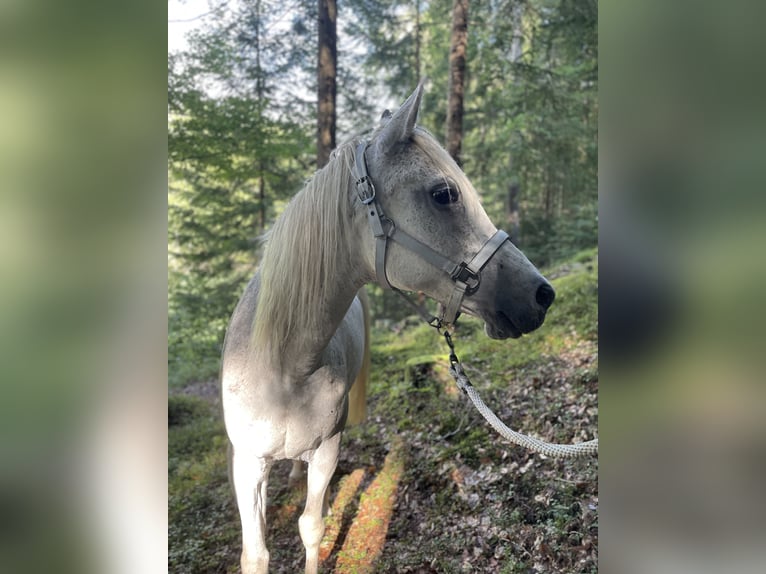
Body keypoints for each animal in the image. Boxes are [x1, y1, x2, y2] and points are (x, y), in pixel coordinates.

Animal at [219, 83, 556, 572]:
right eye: (444, 194)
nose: (541, 295)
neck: (284, 366)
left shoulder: (328, 449)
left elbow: (312, 526)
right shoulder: (246, 465)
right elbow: (256, 554)